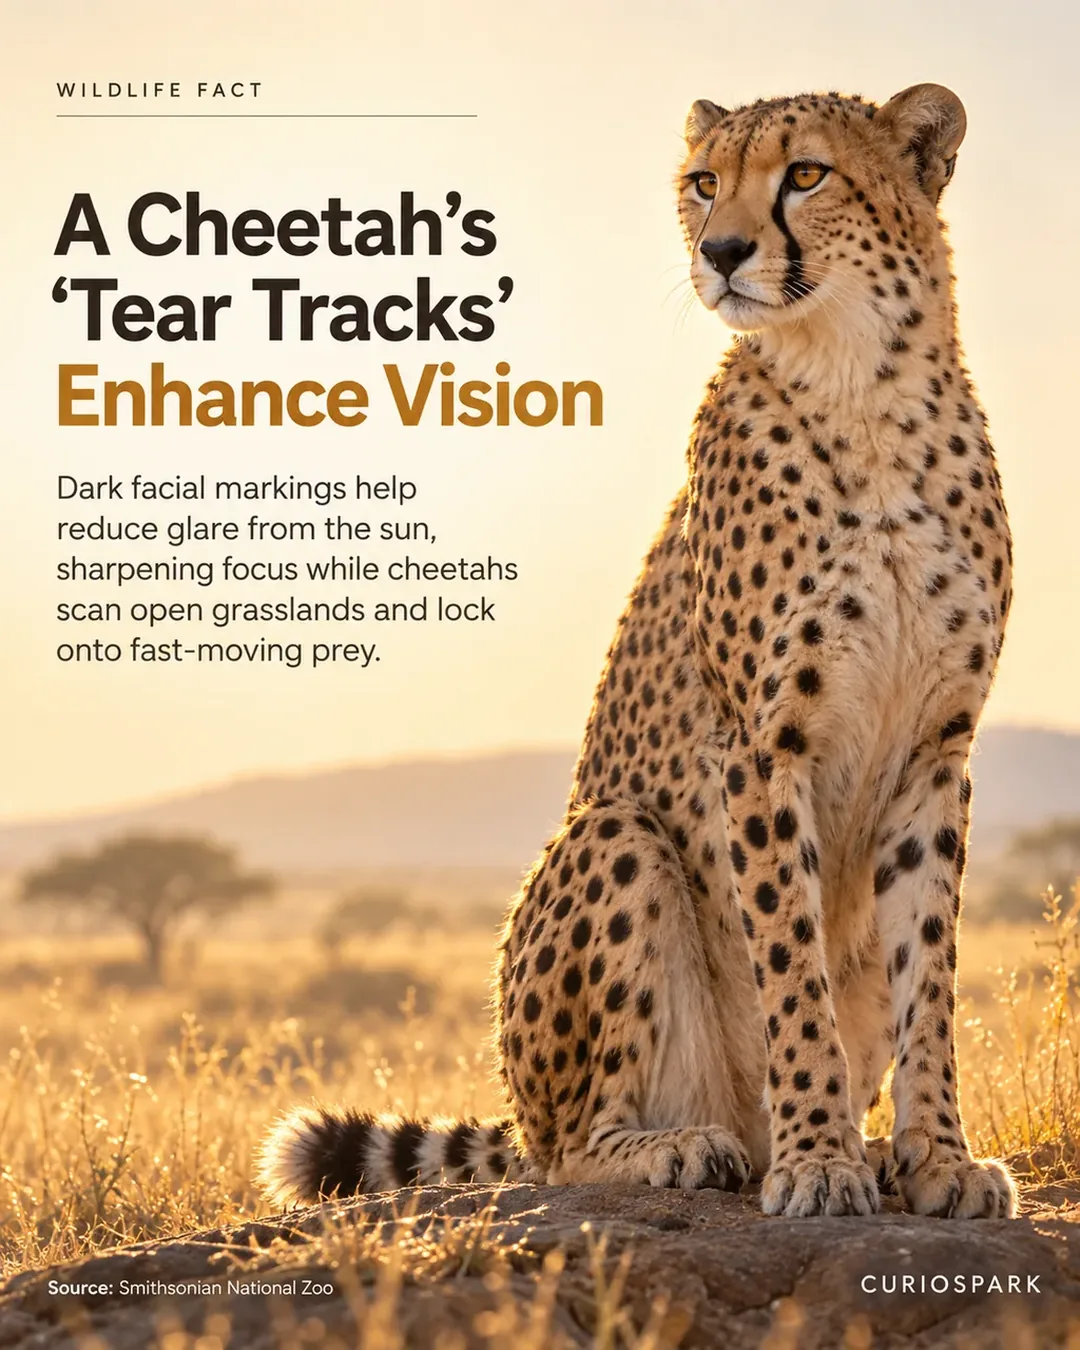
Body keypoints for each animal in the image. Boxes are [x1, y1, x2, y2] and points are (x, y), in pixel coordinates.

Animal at [258, 83, 1017, 1219]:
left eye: (807, 173)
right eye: (704, 181)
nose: (724, 250)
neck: (863, 390)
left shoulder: (938, 751)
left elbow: (929, 971)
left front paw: (936, 1158)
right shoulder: (758, 746)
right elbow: (792, 968)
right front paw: (820, 1160)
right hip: (617, 836)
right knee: (569, 1147)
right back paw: (691, 1147)